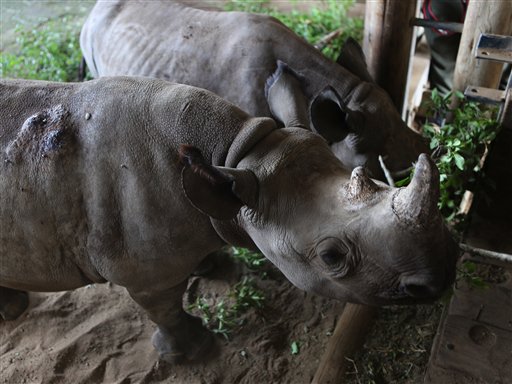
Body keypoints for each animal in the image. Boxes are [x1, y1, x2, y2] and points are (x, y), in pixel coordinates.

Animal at [0, 76, 456, 362]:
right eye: (331, 257)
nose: (443, 276)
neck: (239, 151)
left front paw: (214, 267)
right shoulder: (145, 273)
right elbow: (165, 306)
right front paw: (193, 352)